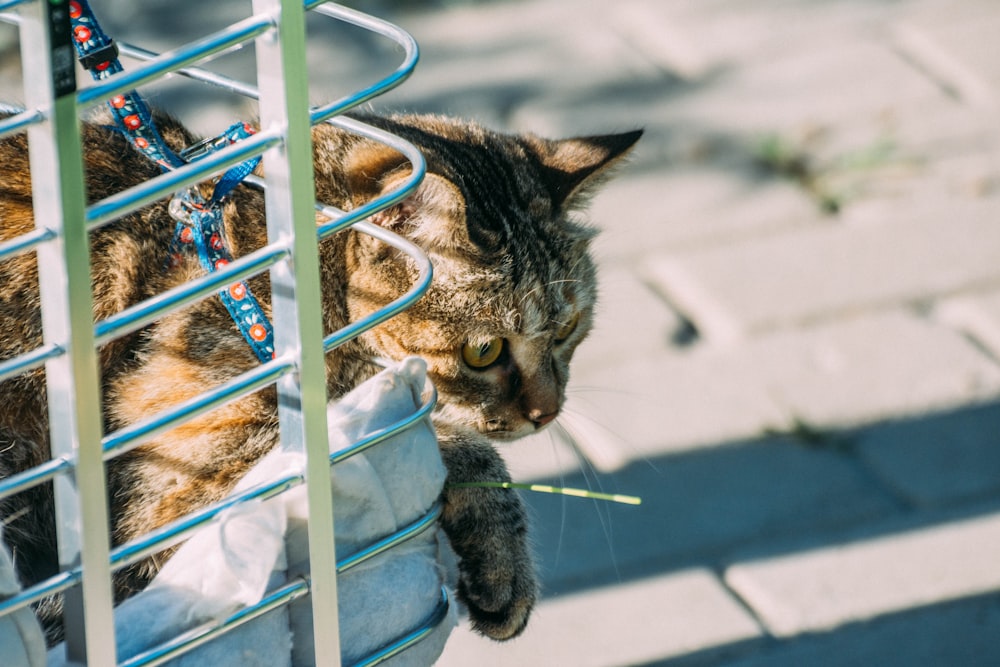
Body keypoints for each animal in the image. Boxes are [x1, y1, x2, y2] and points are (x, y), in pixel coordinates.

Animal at [0, 109, 640, 640]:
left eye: (567, 328)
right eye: (484, 351)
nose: (546, 413)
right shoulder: (182, 500)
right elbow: (424, 434)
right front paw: (501, 545)